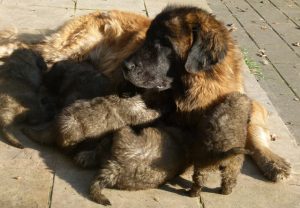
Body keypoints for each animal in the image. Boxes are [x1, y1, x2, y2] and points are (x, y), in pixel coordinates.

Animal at [23, 95, 161, 149]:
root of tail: (54, 125)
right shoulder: (135, 114)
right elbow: (147, 115)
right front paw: (159, 111)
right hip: (72, 125)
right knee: (62, 143)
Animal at [122, 4, 290, 181]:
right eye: (147, 39)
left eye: (165, 44)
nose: (125, 66)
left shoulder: (249, 102)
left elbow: (252, 130)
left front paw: (272, 160)